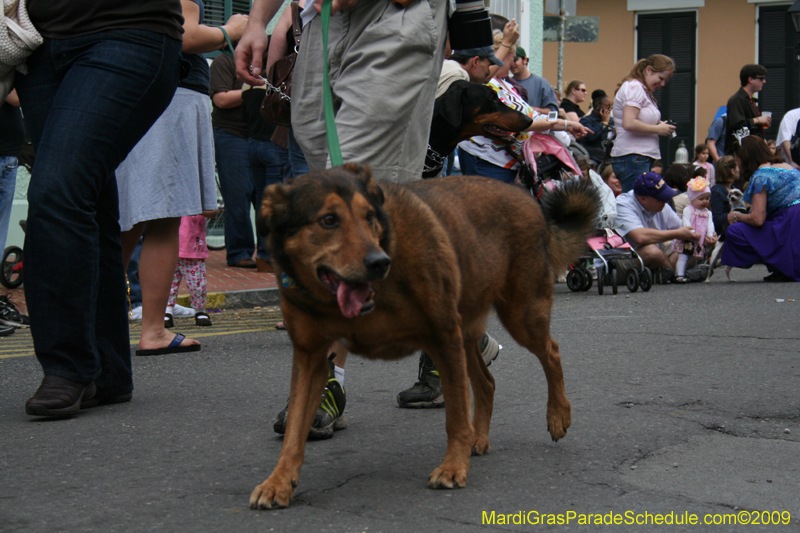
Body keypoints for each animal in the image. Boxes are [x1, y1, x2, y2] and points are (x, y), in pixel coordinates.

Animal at [253, 164, 596, 510]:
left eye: (369, 216)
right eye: (328, 220)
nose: (379, 263)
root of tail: (526, 196)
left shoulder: (442, 334)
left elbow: (456, 416)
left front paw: (453, 467)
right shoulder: (310, 356)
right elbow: (295, 429)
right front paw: (278, 481)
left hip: (521, 314)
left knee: (551, 352)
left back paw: (558, 415)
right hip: (467, 330)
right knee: (487, 382)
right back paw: (479, 437)